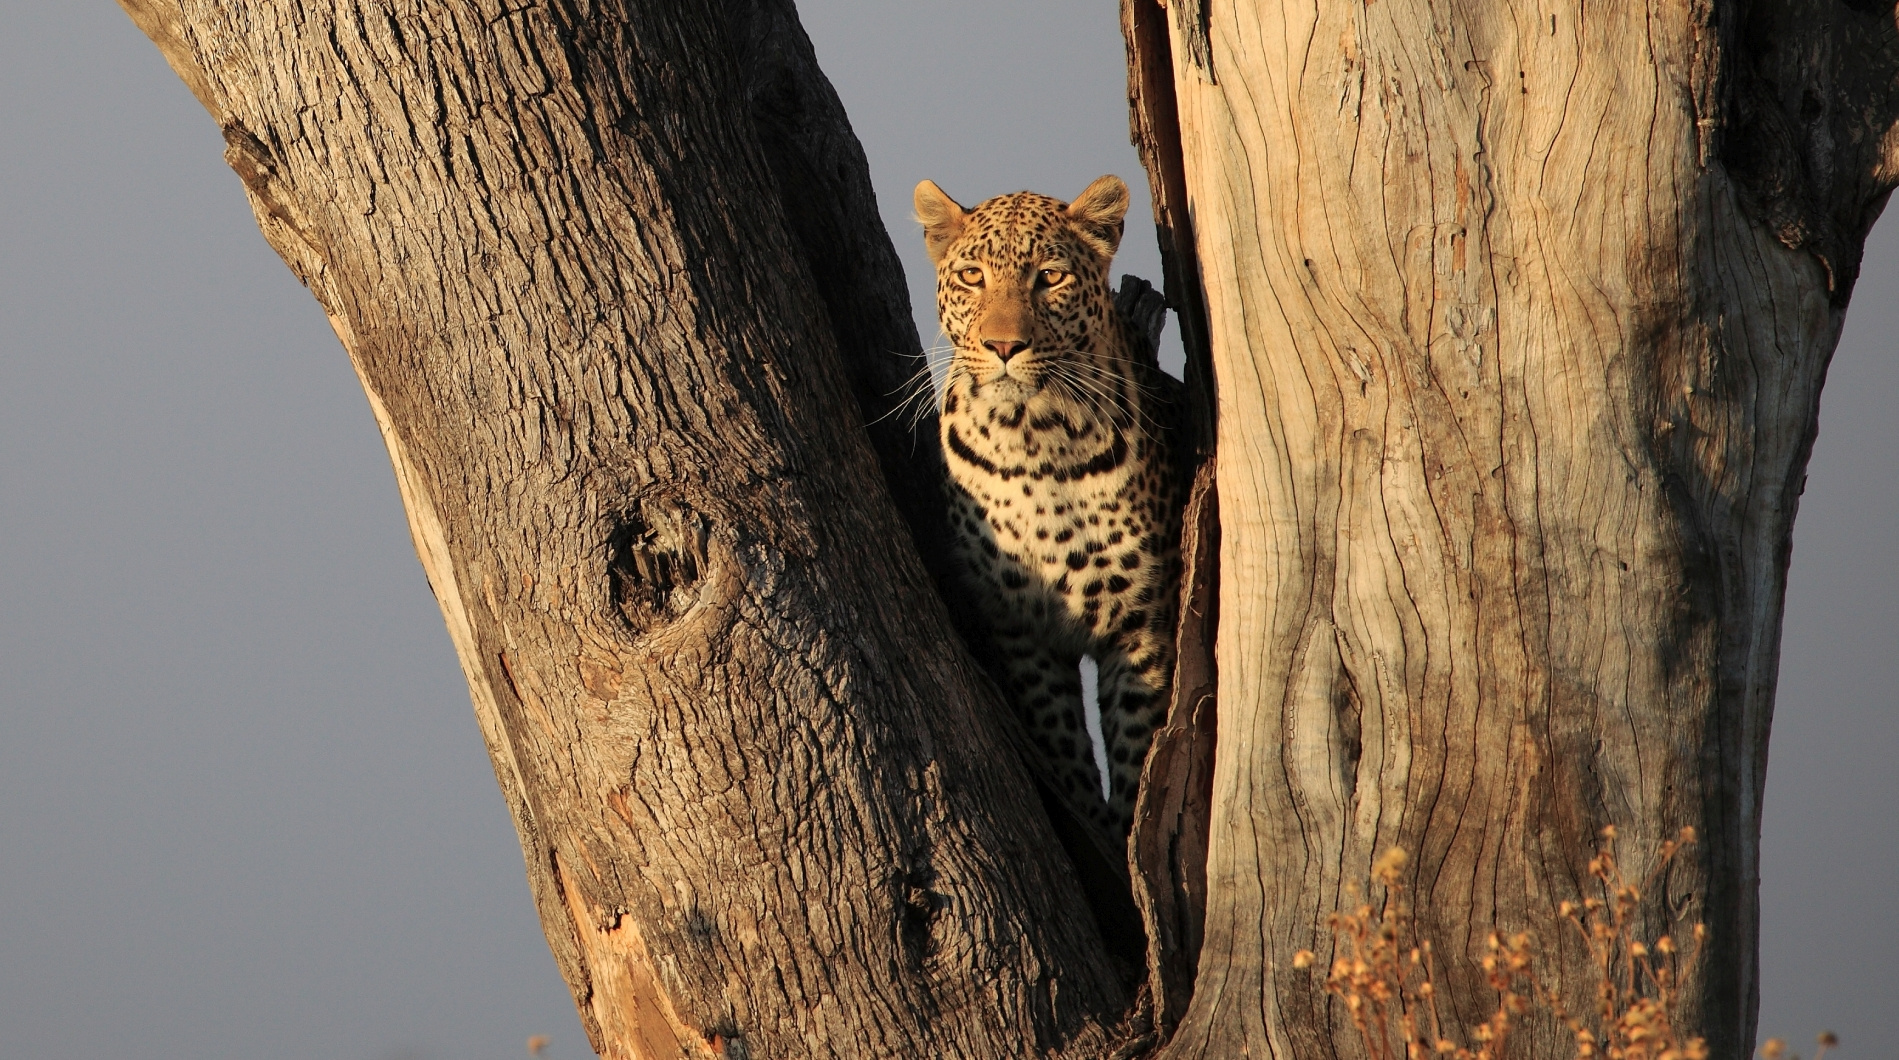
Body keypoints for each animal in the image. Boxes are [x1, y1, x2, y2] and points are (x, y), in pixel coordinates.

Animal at [911, 172, 1177, 839]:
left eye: (1050, 277)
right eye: (972, 276)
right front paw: (1089, 823)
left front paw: (1123, 842)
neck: (1033, 437)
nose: (1004, 345)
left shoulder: (1143, 627)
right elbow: (1061, 744)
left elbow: (1135, 751)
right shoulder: (1019, 625)